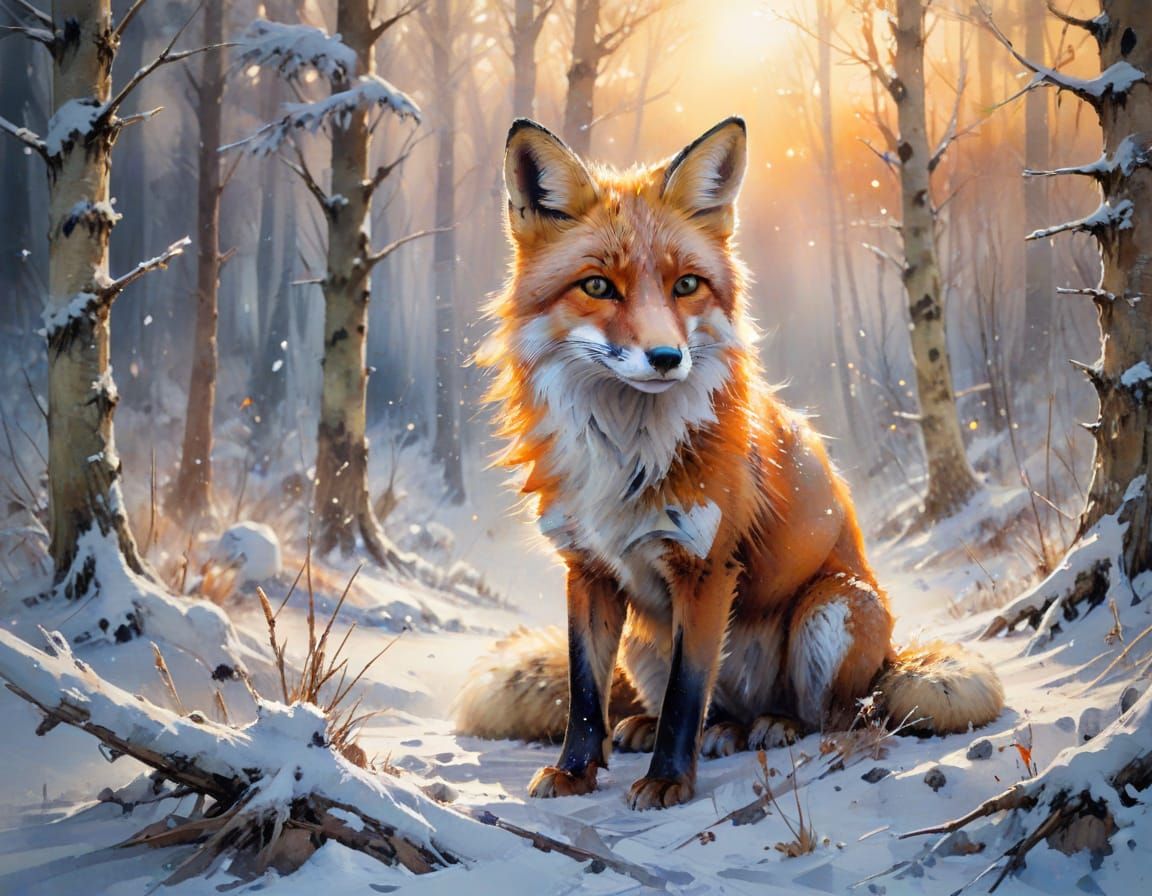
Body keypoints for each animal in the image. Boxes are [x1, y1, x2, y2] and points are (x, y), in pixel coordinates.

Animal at [457, 117, 1004, 811]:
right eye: (598, 286)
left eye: (686, 284)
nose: (667, 357)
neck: (625, 453)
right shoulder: (587, 569)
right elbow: (585, 690)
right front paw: (575, 772)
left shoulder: (706, 568)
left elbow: (686, 695)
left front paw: (668, 781)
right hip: (644, 642)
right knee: (704, 709)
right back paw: (685, 728)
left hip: (830, 611)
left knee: (838, 712)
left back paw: (775, 725)